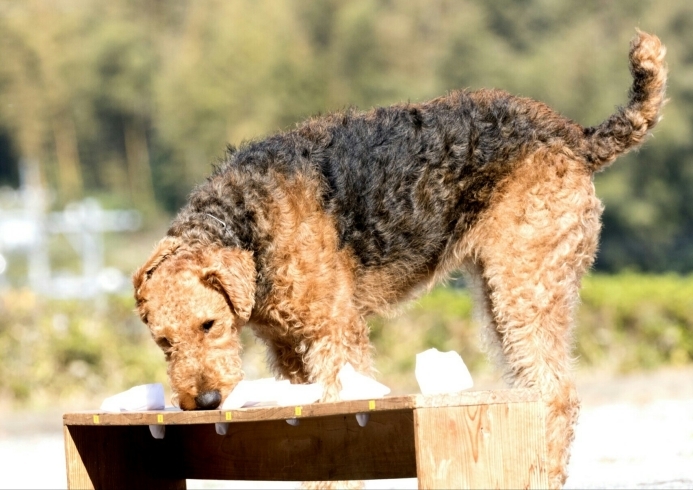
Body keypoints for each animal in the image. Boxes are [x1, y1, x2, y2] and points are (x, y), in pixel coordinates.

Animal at [132, 30, 668, 486]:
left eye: (209, 324)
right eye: (163, 342)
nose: (204, 401)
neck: (248, 227)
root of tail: (574, 135)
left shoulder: (333, 332)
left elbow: (336, 414)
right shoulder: (288, 349)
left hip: (525, 284)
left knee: (557, 393)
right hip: (503, 295)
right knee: (534, 386)